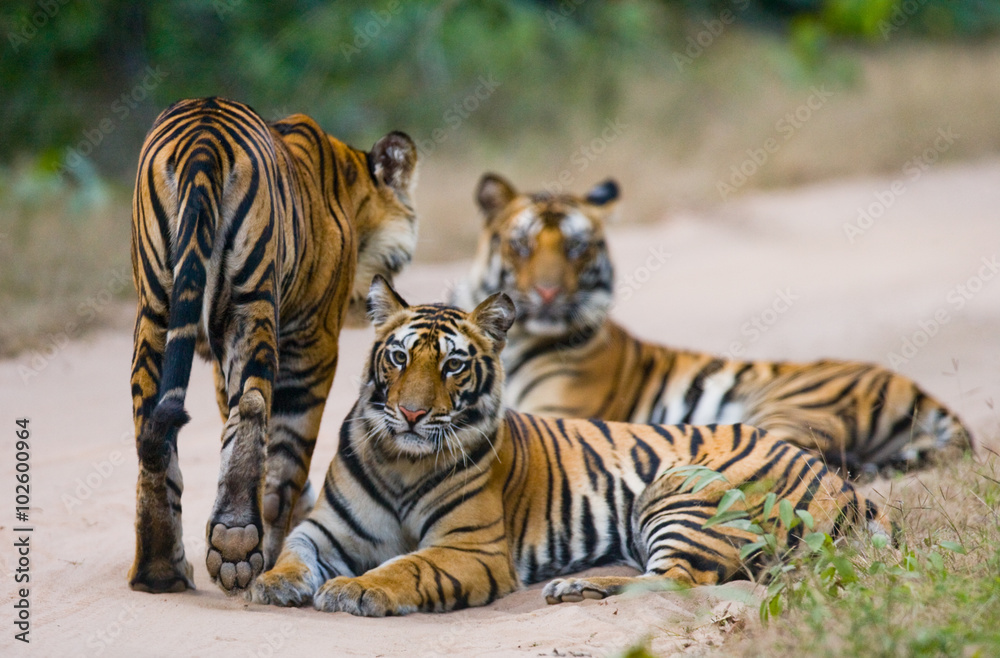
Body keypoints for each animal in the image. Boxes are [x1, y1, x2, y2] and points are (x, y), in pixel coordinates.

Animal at [128, 97, 419, 596]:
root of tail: (205, 135)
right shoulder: (313, 342)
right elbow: (284, 456)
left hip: (156, 309)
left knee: (153, 422)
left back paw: (160, 569)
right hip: (255, 303)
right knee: (255, 407)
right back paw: (237, 542)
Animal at [250, 276, 892, 615]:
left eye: (453, 364)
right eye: (399, 356)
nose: (410, 413)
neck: (399, 460)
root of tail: (842, 483)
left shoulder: (471, 549)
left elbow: (406, 564)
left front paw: (355, 589)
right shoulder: (326, 528)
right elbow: (294, 551)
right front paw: (273, 583)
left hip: (678, 492)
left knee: (683, 579)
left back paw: (573, 587)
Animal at [452, 173, 974, 478]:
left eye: (577, 248)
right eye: (521, 246)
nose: (547, 293)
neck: (519, 339)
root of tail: (915, 386)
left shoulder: (557, 415)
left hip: (792, 409)